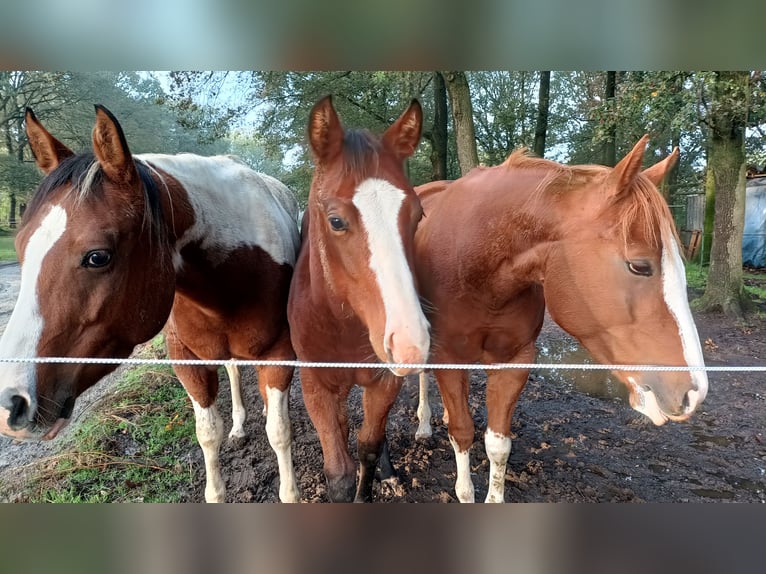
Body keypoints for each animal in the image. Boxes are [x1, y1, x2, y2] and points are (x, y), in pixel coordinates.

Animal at [0, 107, 304, 504]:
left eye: (98, 256)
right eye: (21, 246)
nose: (11, 402)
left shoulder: (280, 354)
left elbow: (279, 431)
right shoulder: (187, 360)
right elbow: (209, 433)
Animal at [290, 97, 432, 502]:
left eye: (418, 214)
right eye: (336, 221)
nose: (410, 344)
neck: (344, 325)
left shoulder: (384, 380)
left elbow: (368, 445)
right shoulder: (316, 386)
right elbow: (338, 471)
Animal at [416, 137, 712, 502]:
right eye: (639, 266)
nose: (694, 393)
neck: (475, 264)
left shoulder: (514, 361)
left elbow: (498, 445)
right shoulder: (447, 356)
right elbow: (462, 432)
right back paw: (424, 424)